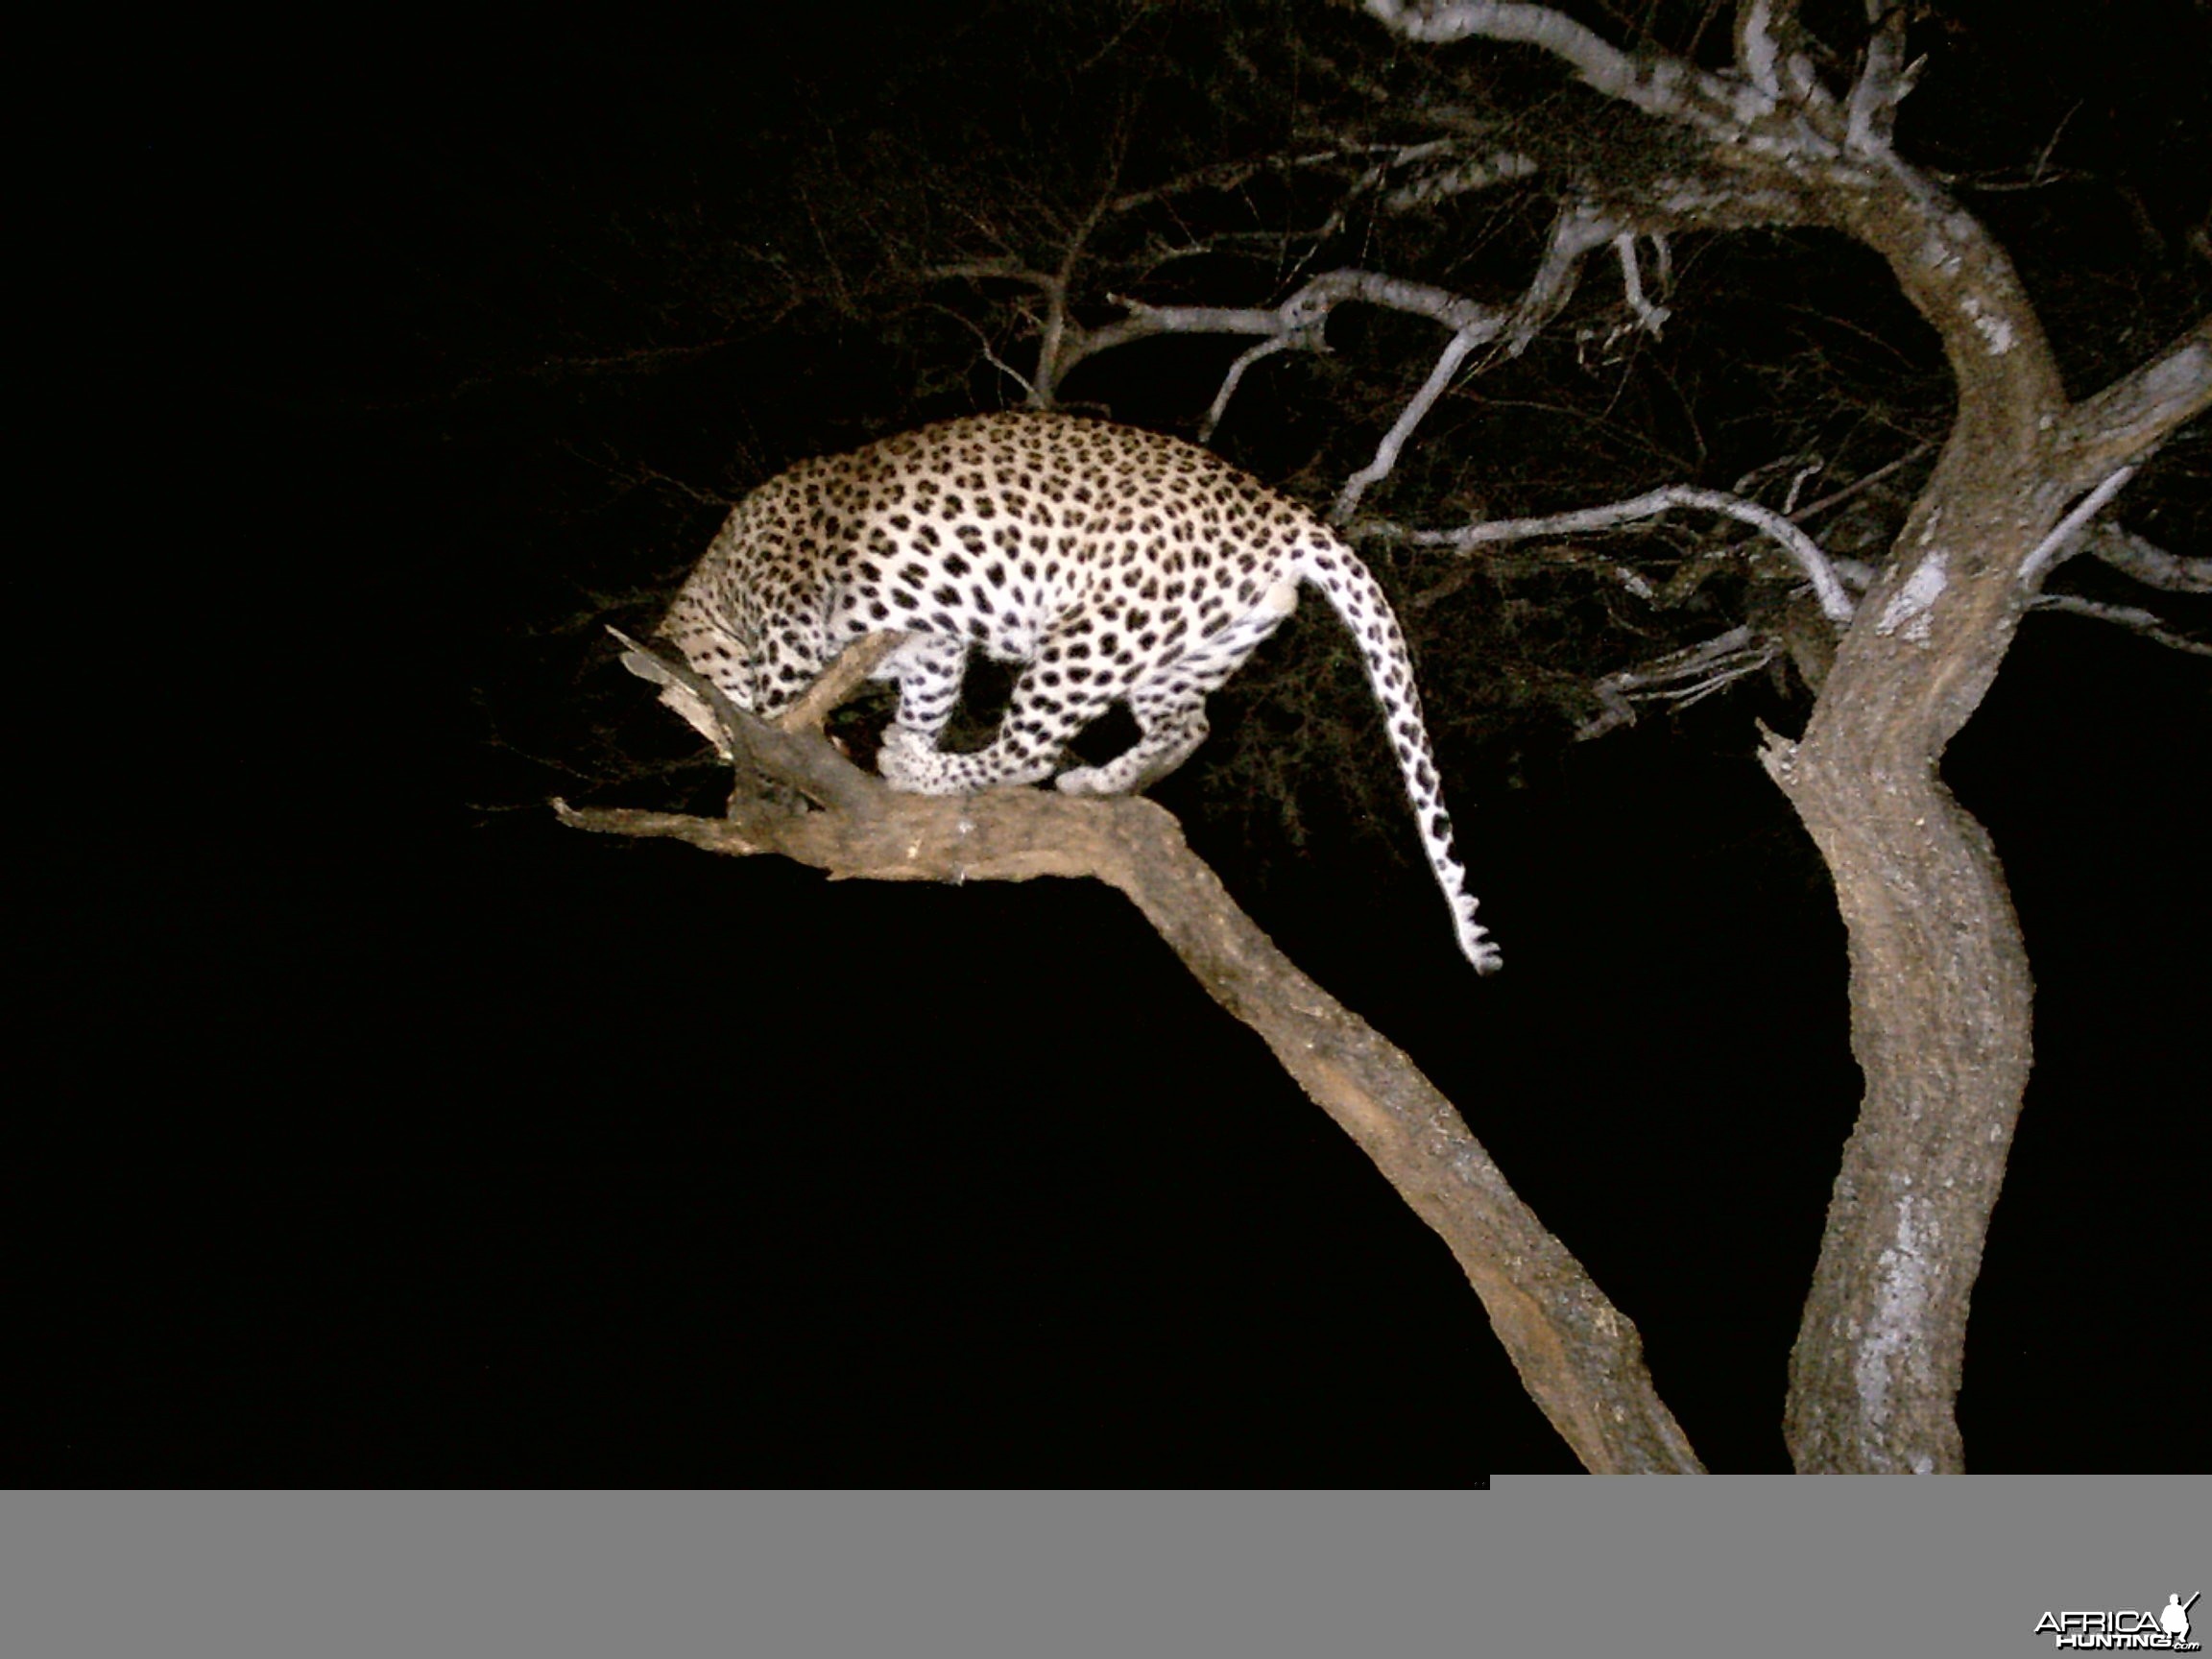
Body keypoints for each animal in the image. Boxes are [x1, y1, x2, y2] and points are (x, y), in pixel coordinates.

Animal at [645, 409, 1495, 973]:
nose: (711, 743)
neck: (717, 579)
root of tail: (1283, 513)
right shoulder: (929, 642)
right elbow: (925, 694)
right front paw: (895, 738)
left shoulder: (792, 625)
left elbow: (781, 704)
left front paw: (794, 752)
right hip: (1179, 648)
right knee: (1190, 727)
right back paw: (1099, 782)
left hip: (1091, 631)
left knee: (1030, 747)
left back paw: (929, 771)